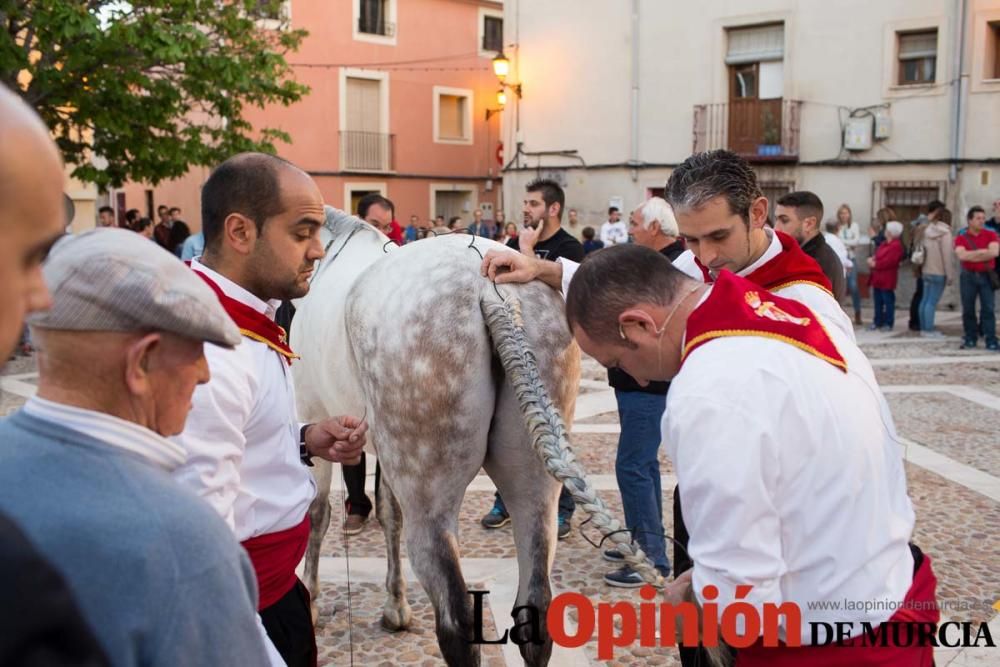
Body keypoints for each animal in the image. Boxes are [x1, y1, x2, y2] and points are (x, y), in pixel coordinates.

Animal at [290, 210, 584, 667]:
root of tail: (490, 290)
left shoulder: (313, 417)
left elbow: (317, 515)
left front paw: (314, 600)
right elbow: (389, 514)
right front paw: (395, 605)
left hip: (429, 497)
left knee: (457, 622)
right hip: (533, 484)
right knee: (535, 607)